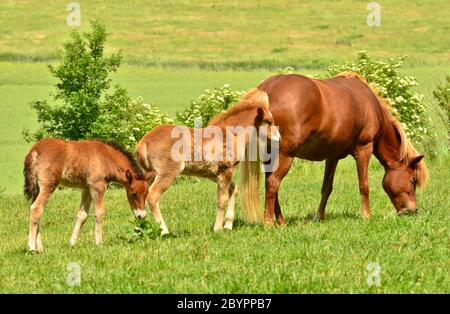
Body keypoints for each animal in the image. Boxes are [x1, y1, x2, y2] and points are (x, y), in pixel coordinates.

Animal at [135, 89, 280, 234]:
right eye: (269, 121)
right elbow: (222, 200)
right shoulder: (225, 170)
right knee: (152, 196)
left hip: (149, 173)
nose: (278, 138)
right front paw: (218, 229)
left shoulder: (215, 174)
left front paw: (228, 225)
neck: (231, 135)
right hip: (168, 173)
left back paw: (139, 226)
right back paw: (164, 231)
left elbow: (234, 189)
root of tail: (144, 142)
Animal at [244, 73, 428, 226]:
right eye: (413, 180)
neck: (370, 104)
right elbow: (364, 185)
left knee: (271, 185)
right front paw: (366, 216)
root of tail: (266, 91)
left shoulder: (333, 157)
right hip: (285, 155)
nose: (413, 210)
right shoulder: (364, 150)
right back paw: (269, 223)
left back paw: (282, 222)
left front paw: (319, 217)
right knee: (273, 184)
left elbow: (327, 188)